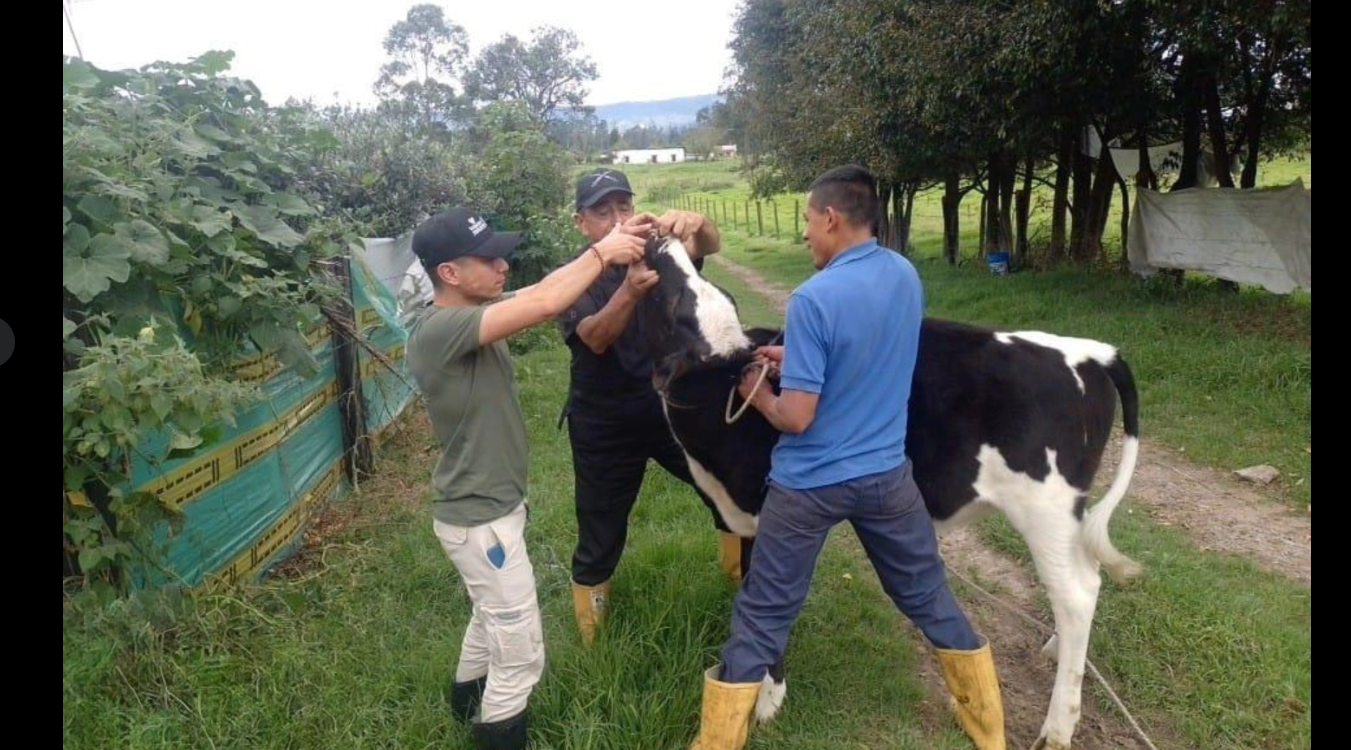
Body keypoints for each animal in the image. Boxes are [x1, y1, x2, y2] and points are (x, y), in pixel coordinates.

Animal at [637, 236, 1145, 750]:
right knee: (1088, 576)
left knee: (1076, 592)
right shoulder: (742, 513)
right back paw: (1058, 649)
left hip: (1045, 508)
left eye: (679, 298)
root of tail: (1092, 352)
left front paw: (765, 698)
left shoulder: (769, 509)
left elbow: (767, 601)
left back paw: (1058, 727)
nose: (665, 238)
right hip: (1068, 514)